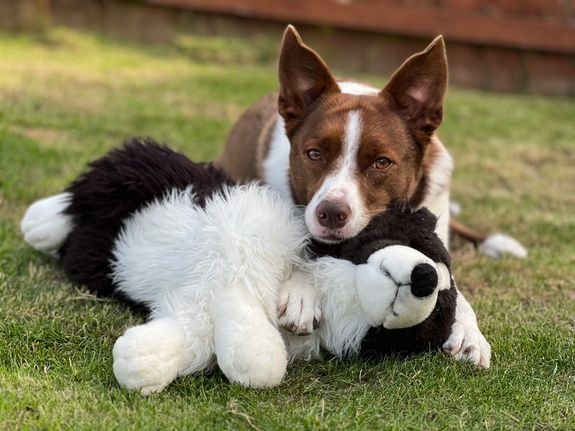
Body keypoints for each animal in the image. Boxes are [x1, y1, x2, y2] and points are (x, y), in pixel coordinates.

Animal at [216, 25, 490, 366]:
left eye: (382, 162)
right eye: (315, 154)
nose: (331, 214)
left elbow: (452, 284)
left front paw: (468, 330)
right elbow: (294, 244)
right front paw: (301, 290)